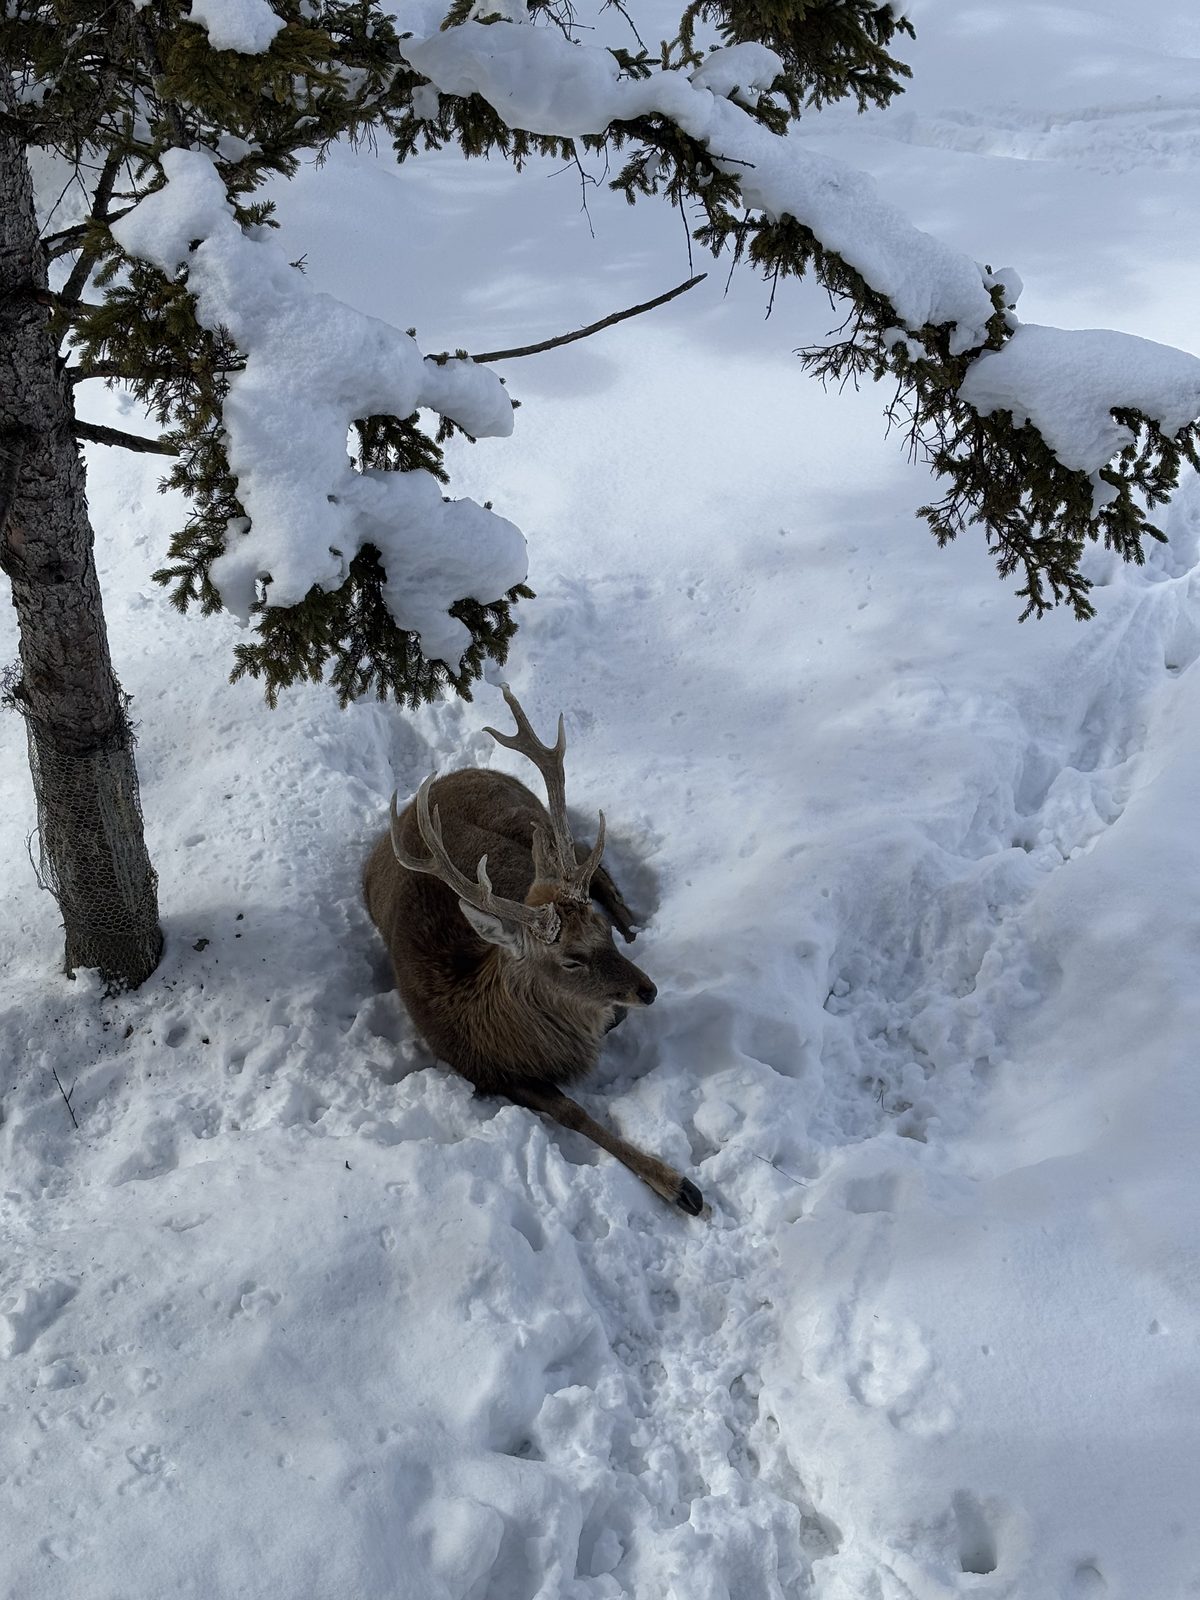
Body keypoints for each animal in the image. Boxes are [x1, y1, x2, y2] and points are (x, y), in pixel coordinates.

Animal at [362, 686, 706, 1218]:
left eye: (599, 931)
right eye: (571, 960)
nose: (648, 990)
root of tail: (464, 770)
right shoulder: (486, 1071)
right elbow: (572, 1111)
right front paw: (677, 1184)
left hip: (533, 820)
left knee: (592, 859)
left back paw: (636, 925)